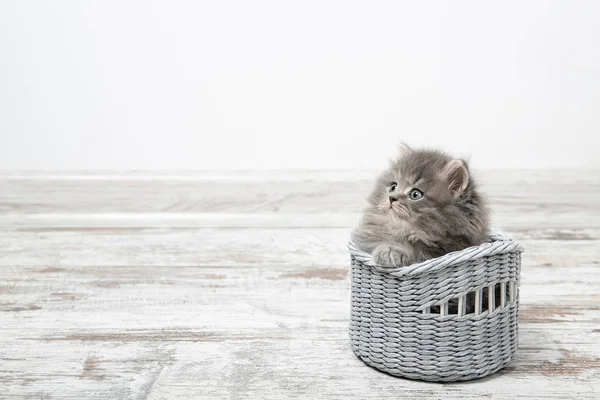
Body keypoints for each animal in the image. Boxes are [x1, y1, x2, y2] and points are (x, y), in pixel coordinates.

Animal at [352, 145, 488, 268]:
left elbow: (414, 250)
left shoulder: (440, 250)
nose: (391, 198)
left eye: (415, 194)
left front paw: (391, 251)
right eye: (393, 187)